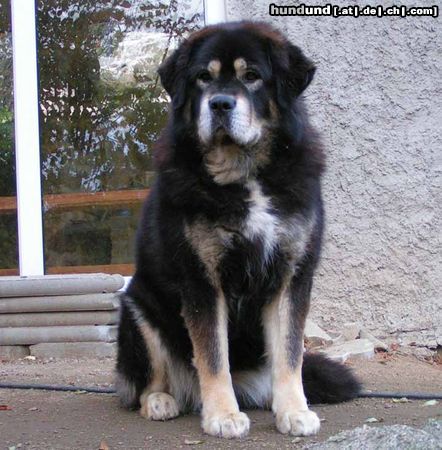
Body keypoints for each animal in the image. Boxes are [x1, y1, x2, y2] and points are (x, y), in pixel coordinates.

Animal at [116, 22, 360, 440]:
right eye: (203, 77)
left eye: (252, 77)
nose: (220, 104)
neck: (245, 174)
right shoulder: (202, 281)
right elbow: (214, 357)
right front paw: (223, 416)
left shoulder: (291, 276)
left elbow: (290, 355)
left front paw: (295, 411)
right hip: (139, 307)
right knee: (148, 381)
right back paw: (161, 400)